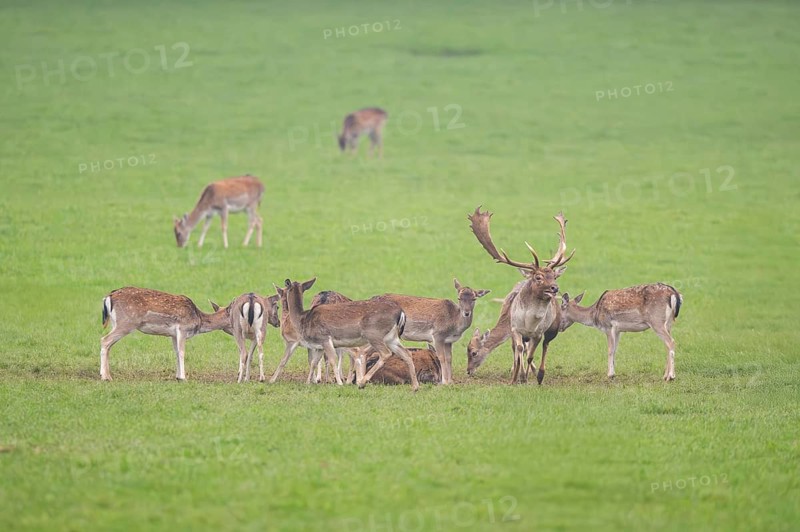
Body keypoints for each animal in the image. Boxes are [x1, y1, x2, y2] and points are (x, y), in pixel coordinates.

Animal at [100, 287, 229, 381]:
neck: (198, 319)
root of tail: (109, 297)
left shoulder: (173, 335)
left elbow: (176, 352)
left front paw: (177, 376)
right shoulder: (182, 328)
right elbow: (182, 352)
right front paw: (183, 377)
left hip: (115, 323)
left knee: (109, 344)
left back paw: (106, 374)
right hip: (126, 323)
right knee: (104, 340)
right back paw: (105, 377)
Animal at [281, 278, 419, 391]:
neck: (303, 319)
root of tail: (401, 313)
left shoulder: (324, 338)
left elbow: (332, 359)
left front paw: (339, 383)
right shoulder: (319, 345)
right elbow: (314, 362)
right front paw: (309, 382)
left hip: (374, 334)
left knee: (385, 353)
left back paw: (362, 382)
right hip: (392, 338)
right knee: (406, 353)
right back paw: (415, 386)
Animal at [468, 207, 575, 384]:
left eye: (554, 276)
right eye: (538, 277)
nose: (555, 288)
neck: (529, 322)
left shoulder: (537, 333)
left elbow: (530, 354)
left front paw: (527, 376)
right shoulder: (515, 329)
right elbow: (517, 350)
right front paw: (515, 377)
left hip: (552, 328)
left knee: (545, 345)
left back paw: (539, 374)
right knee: (521, 349)